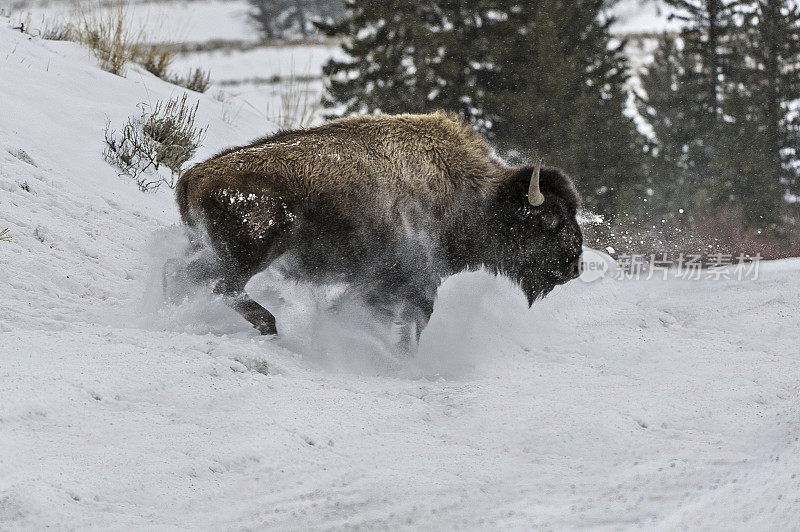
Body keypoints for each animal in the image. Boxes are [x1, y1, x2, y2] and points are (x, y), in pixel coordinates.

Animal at [175, 111, 584, 352]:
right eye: (551, 219)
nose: (575, 266)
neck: (475, 193)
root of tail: (193, 177)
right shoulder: (410, 283)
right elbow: (410, 323)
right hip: (252, 253)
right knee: (222, 287)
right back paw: (273, 329)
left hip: (209, 250)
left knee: (180, 277)